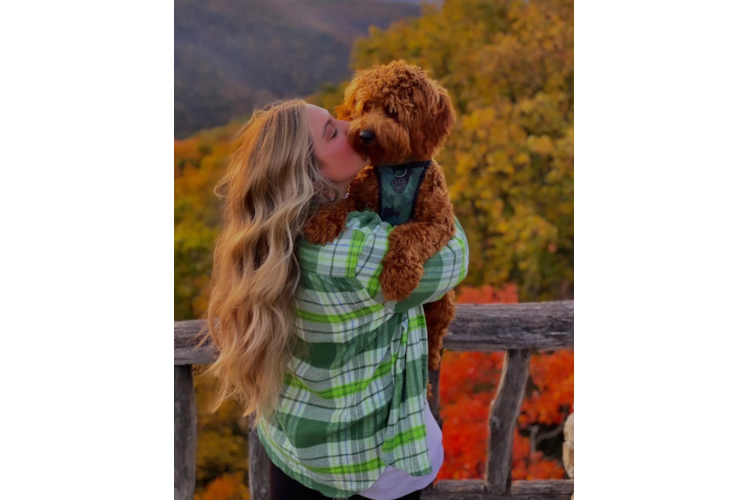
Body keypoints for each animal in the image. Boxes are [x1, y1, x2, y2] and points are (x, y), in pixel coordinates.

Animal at [302, 60, 456, 400]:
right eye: (364, 107)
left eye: (392, 111)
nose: (365, 134)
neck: (398, 169)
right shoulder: (361, 195)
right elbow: (344, 204)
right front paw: (322, 220)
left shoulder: (439, 220)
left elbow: (408, 234)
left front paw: (398, 275)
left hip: (444, 304)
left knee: (435, 338)